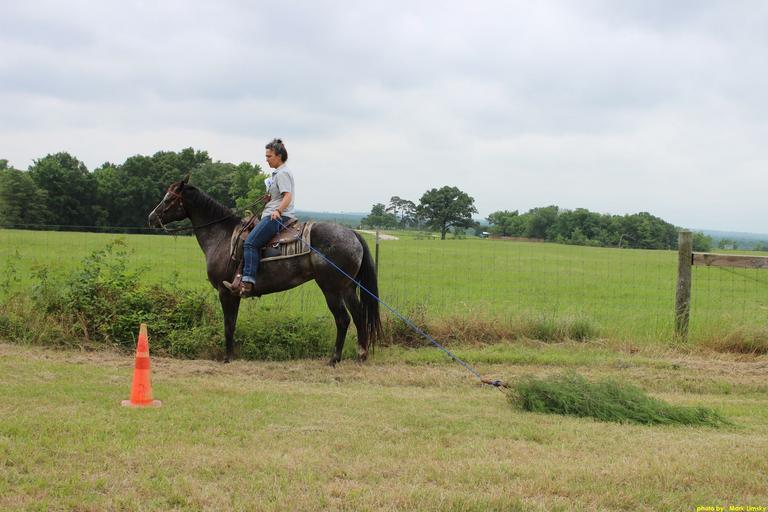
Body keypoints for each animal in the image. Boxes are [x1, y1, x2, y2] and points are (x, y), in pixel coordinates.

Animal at [148, 176, 381, 365]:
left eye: (168, 199)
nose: (151, 217)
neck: (222, 236)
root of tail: (352, 233)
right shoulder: (234, 294)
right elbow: (232, 324)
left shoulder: (225, 292)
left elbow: (228, 325)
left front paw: (227, 358)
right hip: (348, 288)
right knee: (359, 316)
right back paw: (360, 355)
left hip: (331, 289)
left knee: (343, 319)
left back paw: (334, 359)